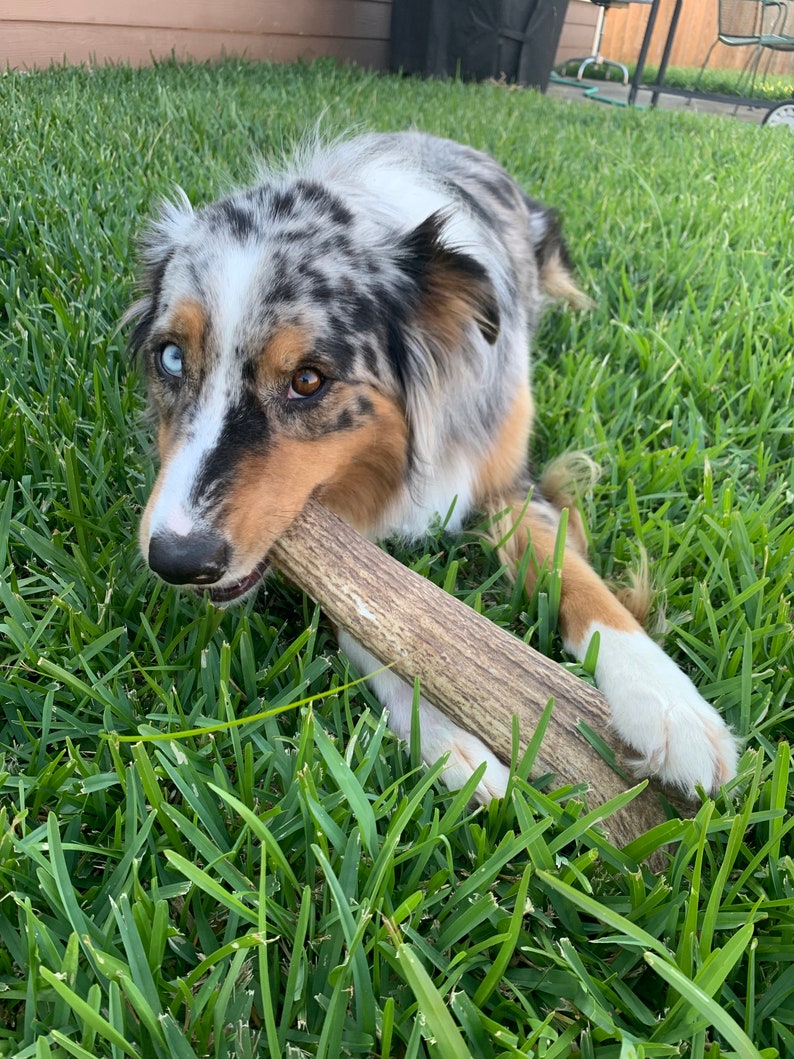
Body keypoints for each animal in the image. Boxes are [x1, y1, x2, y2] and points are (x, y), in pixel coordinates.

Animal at [125, 128, 741, 796]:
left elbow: (578, 580)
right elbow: (373, 624)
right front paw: (451, 742)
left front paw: (667, 707)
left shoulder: (509, 482)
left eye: (308, 380)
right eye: (171, 358)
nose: (176, 561)